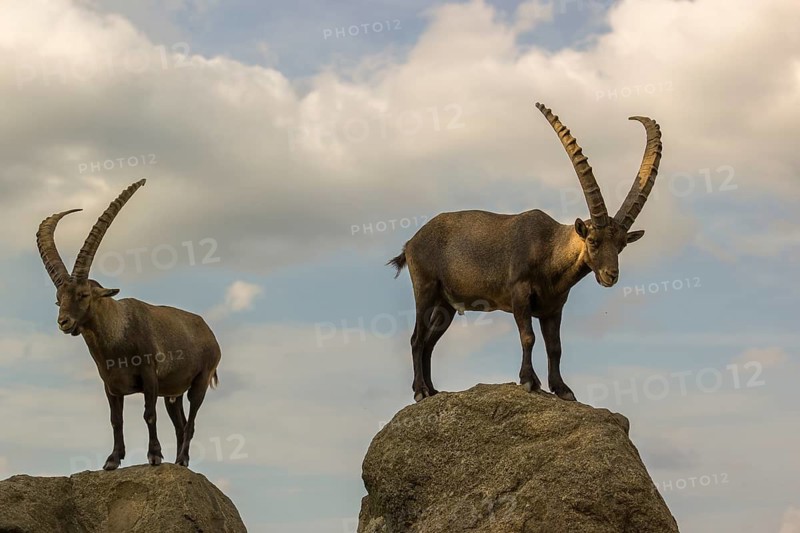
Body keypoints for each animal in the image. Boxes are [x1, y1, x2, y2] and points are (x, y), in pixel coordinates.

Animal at [36, 179, 221, 469]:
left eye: (83, 294)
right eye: (58, 300)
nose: (64, 322)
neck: (118, 335)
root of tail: (209, 332)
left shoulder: (149, 375)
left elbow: (148, 414)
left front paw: (154, 456)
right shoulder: (111, 385)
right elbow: (116, 420)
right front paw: (112, 460)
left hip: (200, 381)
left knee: (190, 423)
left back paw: (181, 460)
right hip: (173, 393)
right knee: (180, 424)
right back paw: (180, 461)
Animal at [389, 103, 662, 402]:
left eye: (622, 245)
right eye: (593, 240)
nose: (611, 275)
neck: (549, 250)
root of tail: (411, 243)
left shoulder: (553, 308)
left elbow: (555, 347)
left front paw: (562, 389)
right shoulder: (519, 294)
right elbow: (528, 337)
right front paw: (529, 380)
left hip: (446, 305)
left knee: (429, 342)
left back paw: (432, 390)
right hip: (426, 290)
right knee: (417, 338)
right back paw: (420, 390)